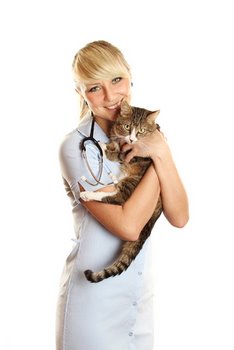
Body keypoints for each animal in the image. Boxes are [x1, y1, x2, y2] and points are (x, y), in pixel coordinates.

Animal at [80, 100, 163, 284]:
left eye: (141, 131)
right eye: (127, 126)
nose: (132, 138)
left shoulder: (134, 155)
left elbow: (116, 153)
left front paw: (103, 146)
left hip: (134, 180)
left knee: (118, 197)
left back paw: (88, 194)